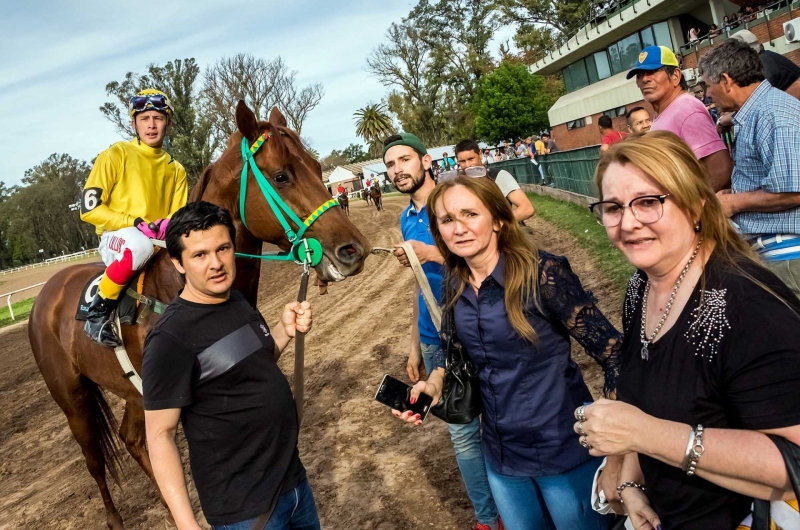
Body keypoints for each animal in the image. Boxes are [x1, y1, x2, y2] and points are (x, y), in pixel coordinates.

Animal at [27, 101, 372, 524]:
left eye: (316, 166)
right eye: (281, 176)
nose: (353, 249)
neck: (180, 288)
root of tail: (47, 294)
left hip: (134, 393)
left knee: (132, 439)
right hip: (73, 398)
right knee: (95, 460)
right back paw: (114, 518)